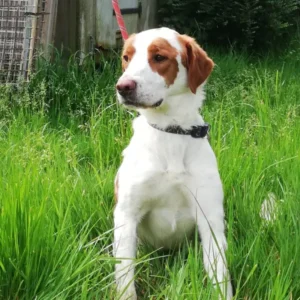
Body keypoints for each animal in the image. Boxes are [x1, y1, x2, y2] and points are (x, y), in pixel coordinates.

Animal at [113, 27, 233, 298]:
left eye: (159, 57)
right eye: (126, 57)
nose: (123, 86)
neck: (171, 131)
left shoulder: (210, 218)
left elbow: (219, 274)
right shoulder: (126, 214)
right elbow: (124, 276)